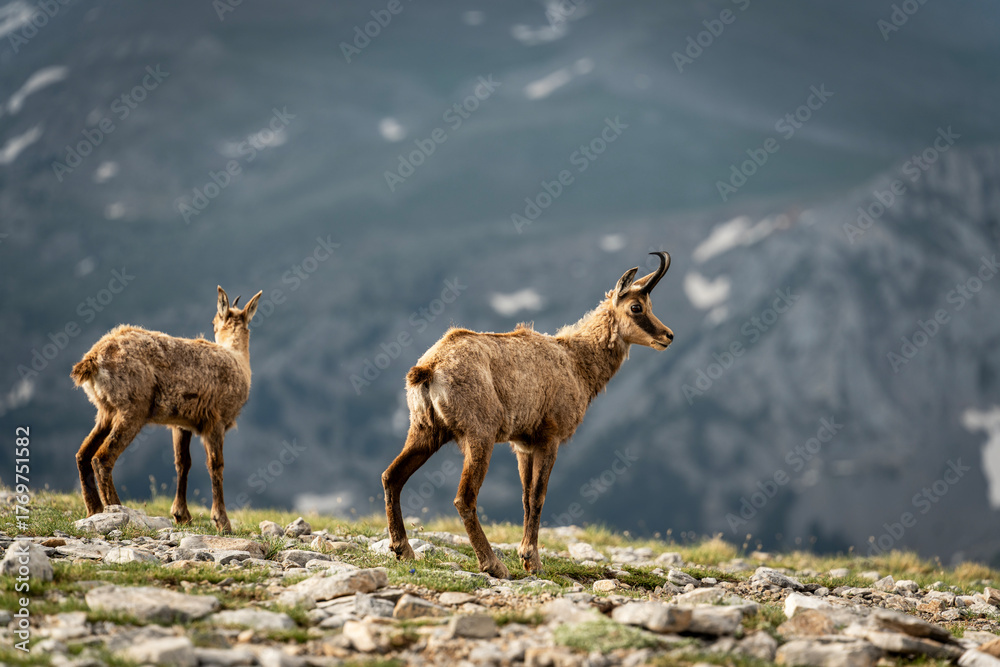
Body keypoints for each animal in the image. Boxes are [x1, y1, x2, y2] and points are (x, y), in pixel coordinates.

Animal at [71, 287, 262, 533]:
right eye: (212, 322)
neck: (237, 358)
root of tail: (93, 359)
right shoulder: (215, 422)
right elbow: (215, 466)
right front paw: (222, 521)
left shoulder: (182, 424)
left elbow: (183, 463)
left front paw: (182, 515)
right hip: (132, 410)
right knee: (102, 458)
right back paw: (117, 509)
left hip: (106, 412)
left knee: (83, 454)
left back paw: (94, 511)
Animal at [382, 252, 674, 578]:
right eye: (636, 307)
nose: (668, 336)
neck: (576, 362)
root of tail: (429, 367)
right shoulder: (550, 437)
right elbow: (538, 495)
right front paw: (532, 560)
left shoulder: (522, 444)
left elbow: (524, 496)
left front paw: (525, 553)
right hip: (478, 435)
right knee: (464, 498)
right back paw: (492, 564)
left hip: (425, 430)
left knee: (392, 476)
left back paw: (403, 549)